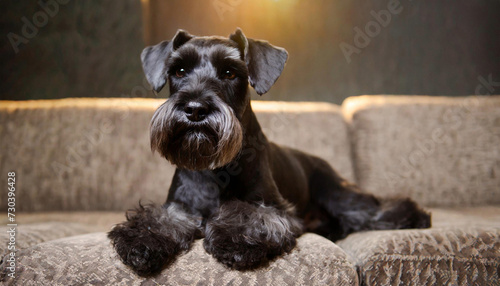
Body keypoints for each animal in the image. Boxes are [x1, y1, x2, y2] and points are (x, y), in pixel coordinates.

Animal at [108, 27, 430, 276]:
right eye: (179, 70)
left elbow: (248, 215)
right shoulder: (179, 205)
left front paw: (234, 239)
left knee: (375, 209)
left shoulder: (276, 209)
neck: (215, 170)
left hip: (338, 194)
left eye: (229, 72)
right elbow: (161, 219)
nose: (195, 108)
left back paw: (416, 216)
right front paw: (142, 242)